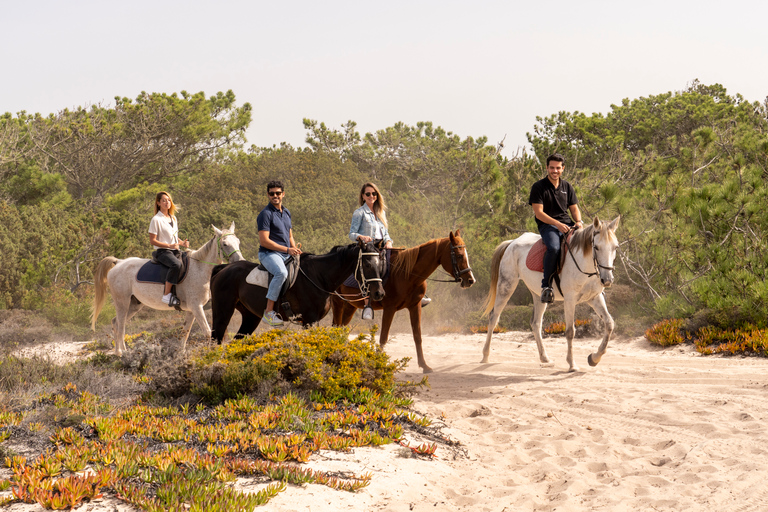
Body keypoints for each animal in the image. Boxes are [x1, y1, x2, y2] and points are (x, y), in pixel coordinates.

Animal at [92, 224, 243, 356]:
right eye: (225, 244)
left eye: (238, 241)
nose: (240, 261)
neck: (200, 269)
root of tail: (119, 262)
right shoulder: (197, 307)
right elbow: (207, 332)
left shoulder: (192, 310)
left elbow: (185, 332)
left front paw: (180, 353)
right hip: (122, 302)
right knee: (120, 325)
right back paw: (119, 352)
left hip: (134, 305)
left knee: (116, 323)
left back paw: (124, 350)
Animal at [208, 241, 384, 344]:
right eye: (367, 264)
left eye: (381, 262)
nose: (379, 294)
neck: (319, 276)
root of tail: (223, 268)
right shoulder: (310, 320)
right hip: (223, 312)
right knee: (216, 340)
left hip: (250, 317)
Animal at [332, 231, 476, 372]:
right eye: (459, 256)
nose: (470, 280)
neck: (407, 274)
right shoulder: (390, 309)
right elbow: (383, 337)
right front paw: (377, 363)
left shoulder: (415, 306)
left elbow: (417, 336)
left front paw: (424, 365)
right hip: (338, 302)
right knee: (336, 328)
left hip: (350, 306)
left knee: (342, 329)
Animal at [484, 216, 620, 372]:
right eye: (596, 247)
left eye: (615, 247)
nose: (607, 279)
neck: (584, 265)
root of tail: (511, 243)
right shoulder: (570, 300)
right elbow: (570, 331)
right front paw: (572, 364)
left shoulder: (594, 298)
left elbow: (609, 323)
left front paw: (594, 358)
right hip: (506, 286)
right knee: (493, 317)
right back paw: (485, 356)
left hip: (539, 296)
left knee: (536, 323)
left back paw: (545, 358)